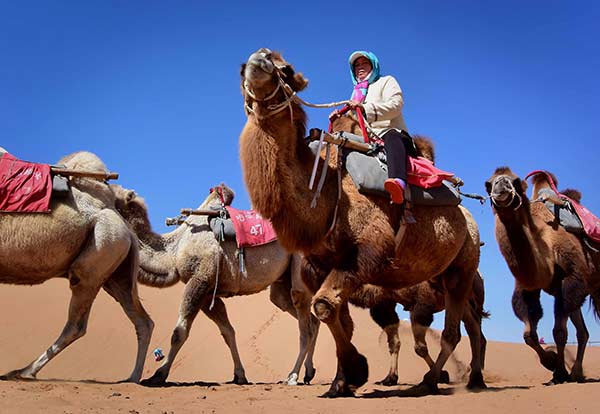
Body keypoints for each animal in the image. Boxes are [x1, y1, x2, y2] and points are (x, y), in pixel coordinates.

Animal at [0, 151, 152, 382]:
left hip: (98, 256)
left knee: (77, 324)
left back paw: (24, 371)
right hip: (117, 272)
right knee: (143, 321)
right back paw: (132, 378)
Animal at [111, 183, 318, 386]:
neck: (174, 249)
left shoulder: (200, 280)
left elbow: (179, 332)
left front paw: (159, 375)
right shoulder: (209, 292)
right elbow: (227, 331)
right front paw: (239, 375)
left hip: (300, 265)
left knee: (305, 325)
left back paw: (293, 376)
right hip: (282, 282)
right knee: (306, 317)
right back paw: (308, 373)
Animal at [238, 47, 482, 396]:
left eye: (286, 69)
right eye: (242, 67)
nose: (260, 58)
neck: (327, 192)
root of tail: (468, 214)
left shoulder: (367, 252)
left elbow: (324, 306)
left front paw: (355, 370)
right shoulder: (320, 265)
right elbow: (337, 318)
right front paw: (341, 382)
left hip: (463, 266)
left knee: (455, 331)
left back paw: (431, 381)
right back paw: (464, 378)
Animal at [486, 167, 600, 384]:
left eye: (515, 182)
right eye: (488, 183)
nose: (501, 186)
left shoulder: (571, 280)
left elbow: (559, 332)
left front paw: (559, 373)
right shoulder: (528, 287)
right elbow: (529, 333)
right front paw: (551, 361)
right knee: (583, 332)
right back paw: (577, 373)